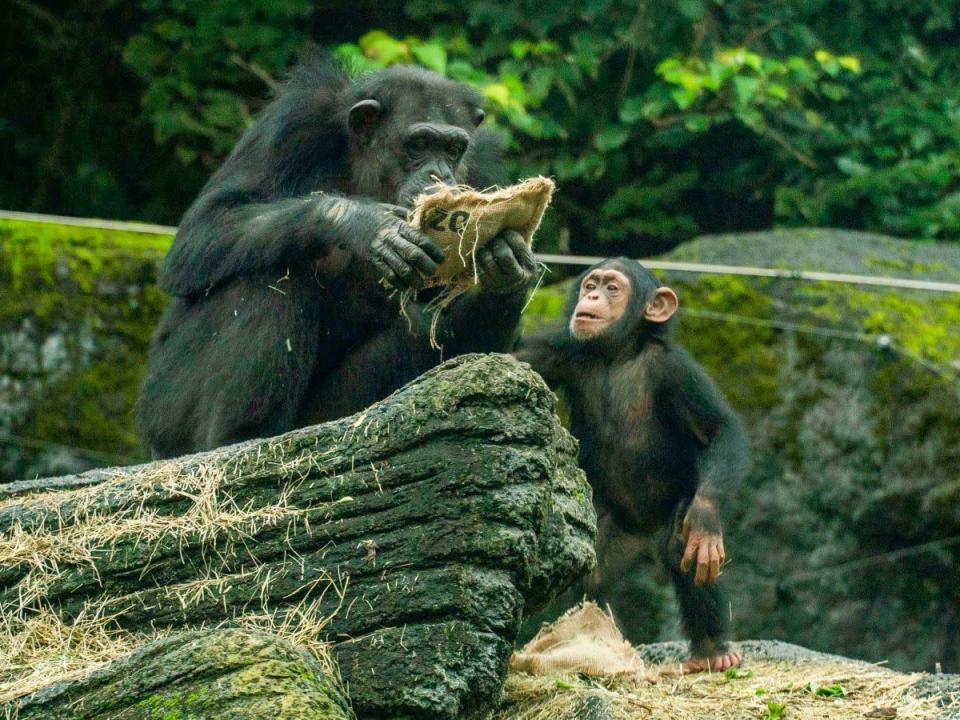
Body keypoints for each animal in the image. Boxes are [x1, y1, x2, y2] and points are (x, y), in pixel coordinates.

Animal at [139, 56, 536, 456]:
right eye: (420, 143)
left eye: (454, 149)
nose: (441, 173)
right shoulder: (293, 120)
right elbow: (206, 226)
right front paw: (364, 222)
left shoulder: (482, 165)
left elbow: (471, 351)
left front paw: (506, 263)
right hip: (163, 411)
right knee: (266, 277)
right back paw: (238, 439)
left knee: (420, 327)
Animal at [512, 256, 752, 672]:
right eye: (591, 283)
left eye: (612, 288)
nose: (592, 295)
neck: (618, 353)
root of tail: (644, 538)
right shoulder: (558, 351)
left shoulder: (677, 370)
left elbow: (717, 431)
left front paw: (706, 518)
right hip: (609, 528)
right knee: (593, 575)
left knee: (679, 548)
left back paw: (713, 652)